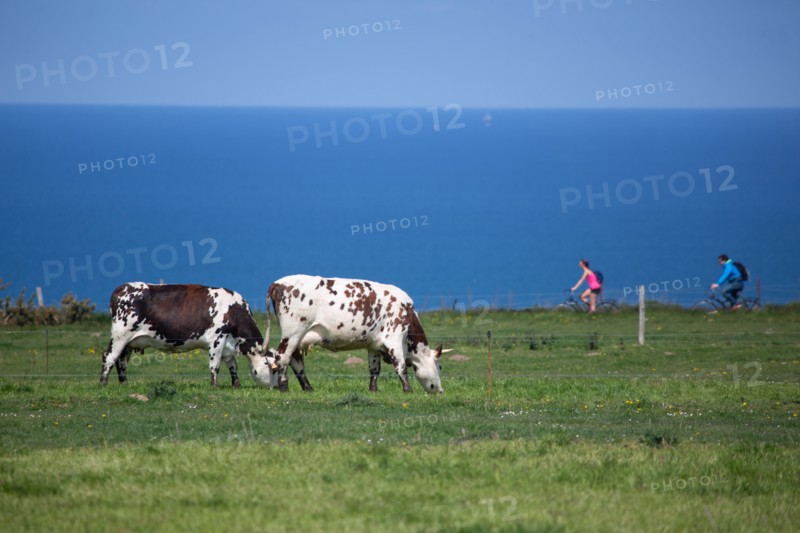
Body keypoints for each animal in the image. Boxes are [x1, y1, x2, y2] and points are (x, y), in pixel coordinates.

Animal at [100, 282, 274, 388]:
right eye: (271, 367)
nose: (276, 386)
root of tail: (122, 288)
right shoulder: (217, 340)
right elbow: (215, 365)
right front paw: (214, 386)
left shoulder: (228, 345)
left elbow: (232, 365)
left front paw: (236, 384)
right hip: (120, 335)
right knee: (109, 356)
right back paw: (103, 383)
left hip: (130, 342)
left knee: (121, 360)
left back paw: (124, 383)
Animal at [255, 275, 444, 393]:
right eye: (440, 366)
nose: (440, 391)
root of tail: (279, 283)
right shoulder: (394, 339)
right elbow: (401, 366)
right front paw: (408, 390)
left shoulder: (373, 345)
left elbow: (374, 369)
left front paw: (373, 390)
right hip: (293, 332)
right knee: (282, 357)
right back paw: (284, 387)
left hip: (298, 337)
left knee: (295, 360)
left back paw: (308, 388)